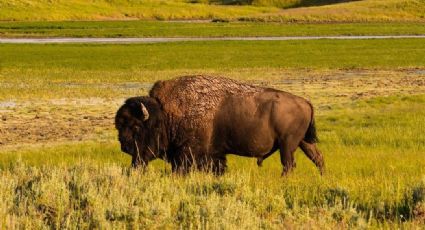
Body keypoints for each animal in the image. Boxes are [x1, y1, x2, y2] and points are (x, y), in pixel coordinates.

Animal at [114, 76, 322, 175]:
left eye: (136, 127)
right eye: (119, 126)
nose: (124, 146)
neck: (166, 115)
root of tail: (306, 102)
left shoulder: (187, 155)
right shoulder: (214, 156)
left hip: (287, 145)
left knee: (289, 164)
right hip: (303, 142)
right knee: (317, 158)